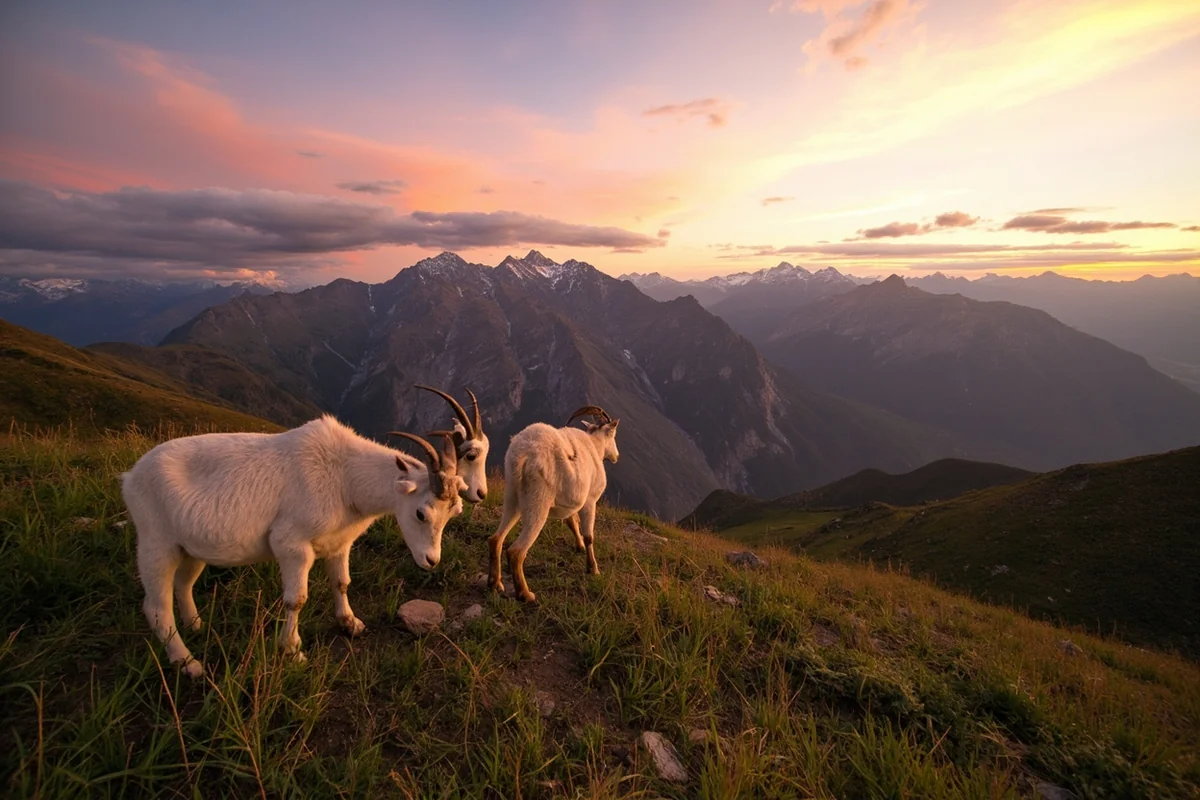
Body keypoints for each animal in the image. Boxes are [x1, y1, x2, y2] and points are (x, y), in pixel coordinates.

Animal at [122, 415, 465, 677]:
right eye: (421, 513)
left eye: (455, 511)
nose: (431, 560)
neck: (343, 474)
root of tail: (130, 476)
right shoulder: (291, 544)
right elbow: (295, 600)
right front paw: (293, 651)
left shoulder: (339, 543)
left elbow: (341, 582)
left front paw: (350, 623)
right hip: (156, 543)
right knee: (156, 607)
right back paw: (188, 663)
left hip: (191, 548)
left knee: (183, 583)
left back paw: (195, 625)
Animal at [488, 405, 620, 602]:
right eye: (613, 435)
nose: (616, 456)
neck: (594, 447)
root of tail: (522, 455)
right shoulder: (589, 501)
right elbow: (589, 536)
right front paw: (593, 569)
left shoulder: (571, 504)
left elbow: (571, 522)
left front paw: (579, 547)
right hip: (538, 502)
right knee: (516, 551)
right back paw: (525, 594)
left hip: (512, 496)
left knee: (496, 539)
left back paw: (495, 584)